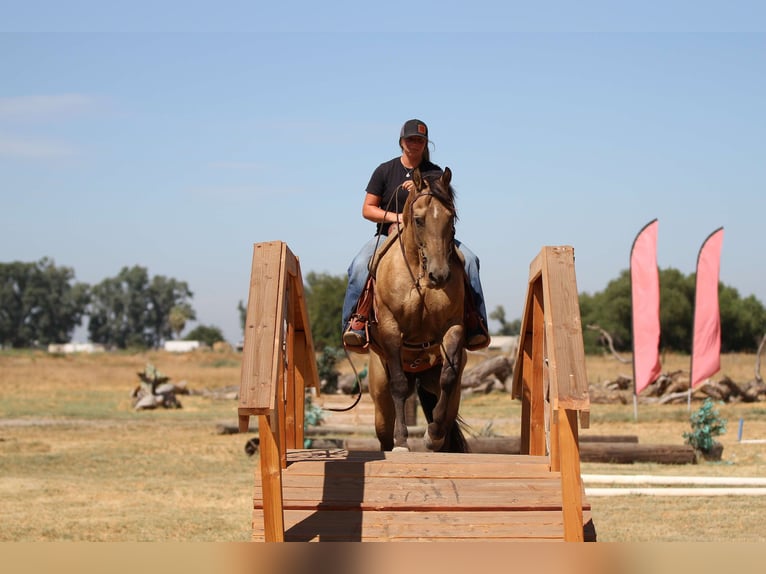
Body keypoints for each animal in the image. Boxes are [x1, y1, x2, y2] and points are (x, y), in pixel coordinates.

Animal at [367, 167, 469, 453]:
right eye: (419, 220)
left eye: (451, 217)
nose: (440, 275)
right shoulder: (390, 327)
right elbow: (399, 385)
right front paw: (403, 441)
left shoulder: (453, 326)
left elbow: (448, 377)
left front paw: (432, 434)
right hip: (380, 400)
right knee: (384, 432)